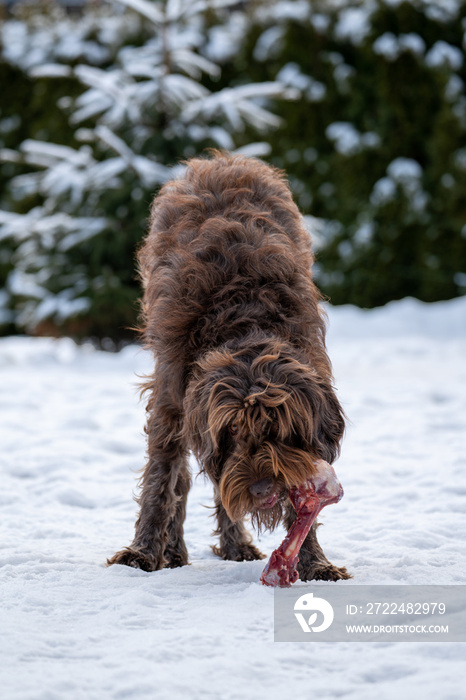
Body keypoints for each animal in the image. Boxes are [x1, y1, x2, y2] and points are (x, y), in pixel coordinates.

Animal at [108, 152, 350, 580]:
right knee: (184, 477)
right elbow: (161, 481)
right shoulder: (172, 400)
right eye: (232, 428)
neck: (245, 318)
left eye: (281, 427)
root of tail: (222, 159)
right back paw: (174, 549)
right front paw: (142, 552)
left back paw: (231, 545)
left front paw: (313, 560)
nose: (260, 490)